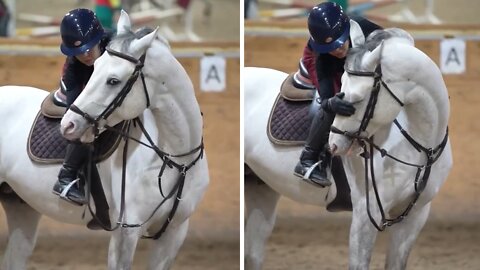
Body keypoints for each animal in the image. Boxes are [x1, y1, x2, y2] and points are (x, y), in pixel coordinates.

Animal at [0, 10, 208, 270]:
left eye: (113, 80)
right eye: (95, 67)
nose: (68, 124)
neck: (176, 160)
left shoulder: (174, 234)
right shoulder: (125, 234)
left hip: (21, 206)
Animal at [246, 28, 452, 268]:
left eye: (359, 99)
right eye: (342, 94)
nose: (334, 144)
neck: (421, 148)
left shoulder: (415, 216)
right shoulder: (366, 213)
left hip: (260, 188)